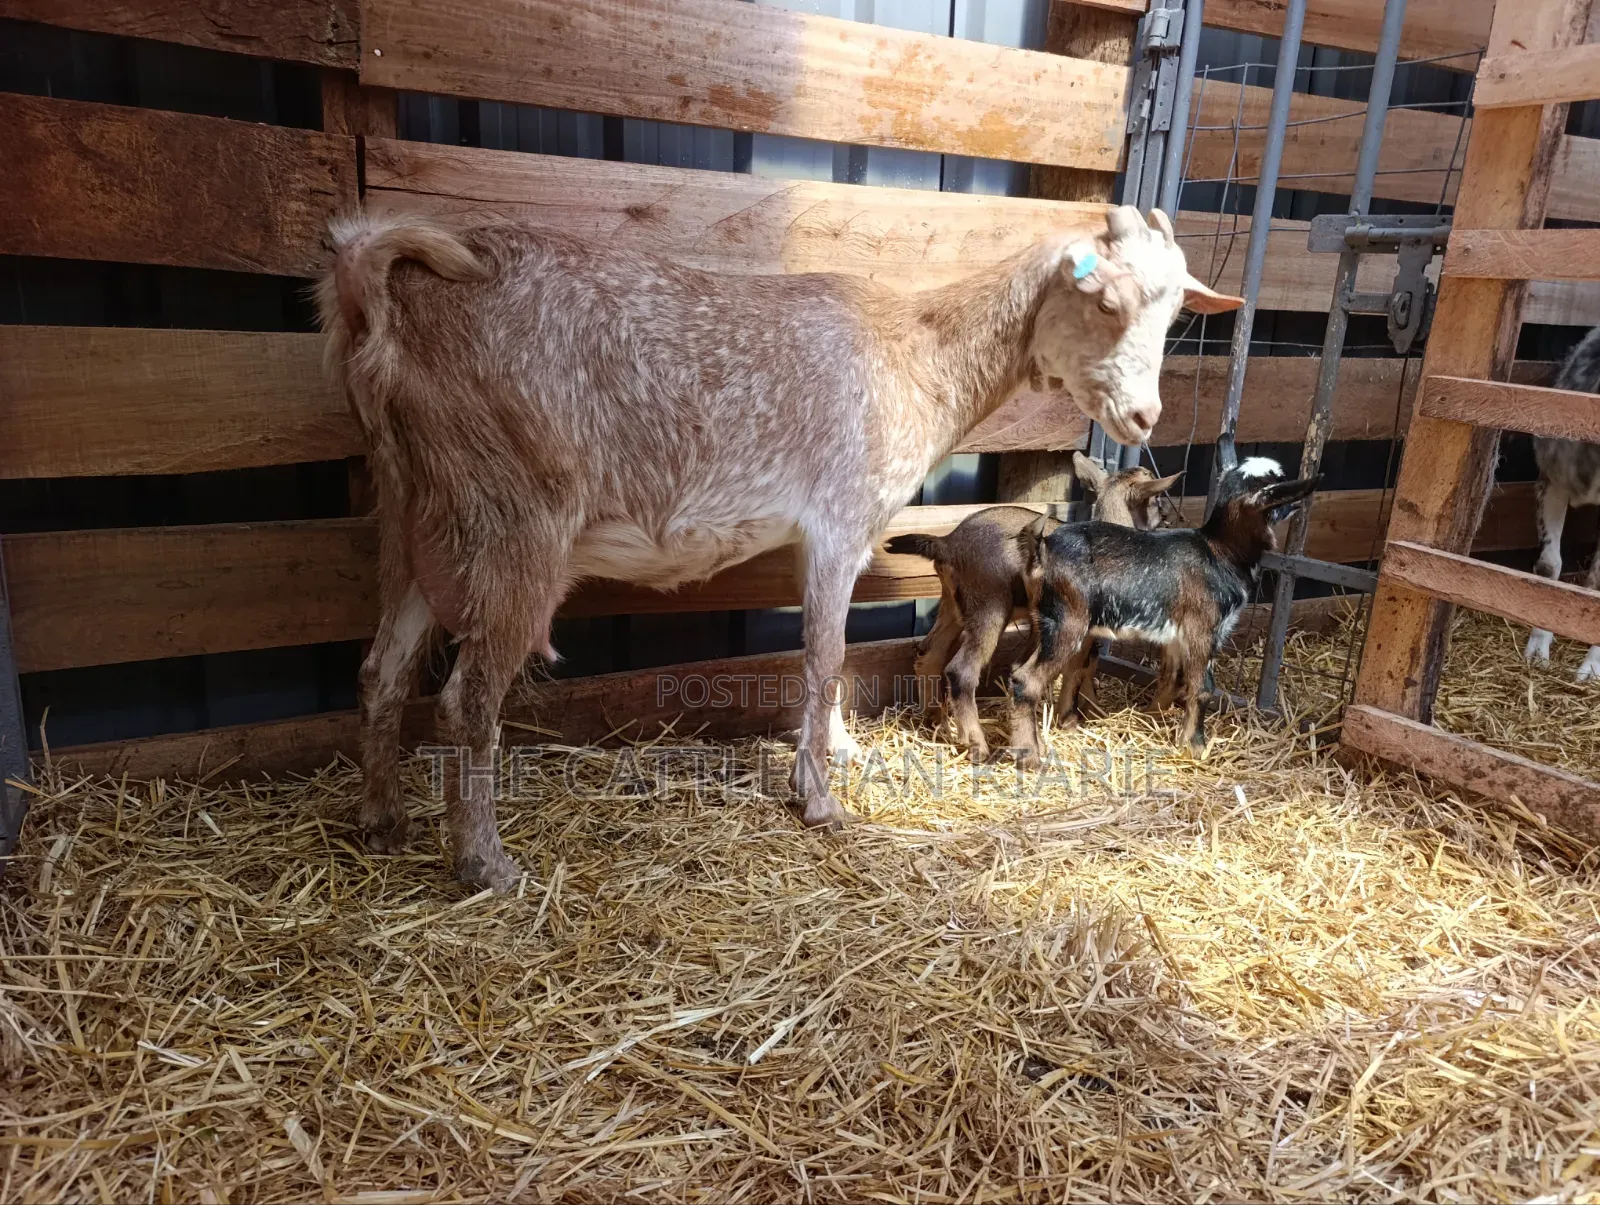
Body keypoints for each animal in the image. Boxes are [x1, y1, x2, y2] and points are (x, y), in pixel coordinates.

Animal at [884, 452, 1178, 760]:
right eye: (1157, 498)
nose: (1169, 519)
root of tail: (946, 544)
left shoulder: (1045, 625)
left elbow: (1065, 665)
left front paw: (1086, 711)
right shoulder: (1079, 625)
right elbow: (1077, 667)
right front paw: (1070, 719)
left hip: (954, 605)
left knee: (929, 654)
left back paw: (936, 723)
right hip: (989, 606)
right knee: (961, 671)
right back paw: (977, 745)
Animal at [1005, 459, 1318, 768]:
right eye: (1276, 482)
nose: (1300, 504)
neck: (1220, 552)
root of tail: (1041, 550)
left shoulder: (1177, 635)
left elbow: (1172, 679)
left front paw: (1153, 719)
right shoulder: (1202, 628)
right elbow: (1202, 687)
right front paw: (1196, 748)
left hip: (1045, 621)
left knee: (1020, 669)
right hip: (1068, 622)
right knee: (1027, 679)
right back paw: (1030, 757)